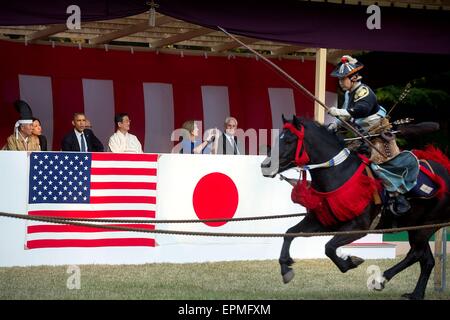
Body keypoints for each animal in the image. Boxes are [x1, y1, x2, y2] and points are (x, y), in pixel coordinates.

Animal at [260, 115, 450, 300]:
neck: (339, 173)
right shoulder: (322, 221)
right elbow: (290, 233)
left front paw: (349, 262)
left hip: (426, 226)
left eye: (289, 140)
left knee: (416, 254)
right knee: (426, 259)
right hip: (416, 227)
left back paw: (382, 279)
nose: (265, 165)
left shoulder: (359, 227)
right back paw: (415, 293)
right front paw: (286, 268)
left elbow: (329, 247)